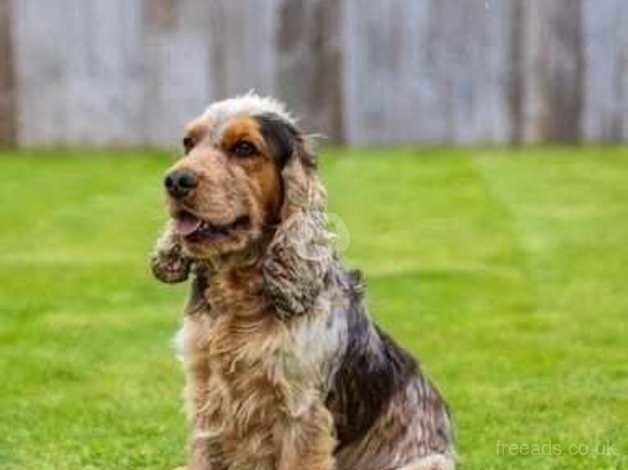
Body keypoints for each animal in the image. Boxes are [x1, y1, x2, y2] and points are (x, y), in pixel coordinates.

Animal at [152, 93, 456, 468]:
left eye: (244, 148)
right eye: (188, 143)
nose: (175, 181)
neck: (238, 292)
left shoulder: (301, 414)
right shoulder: (206, 401)